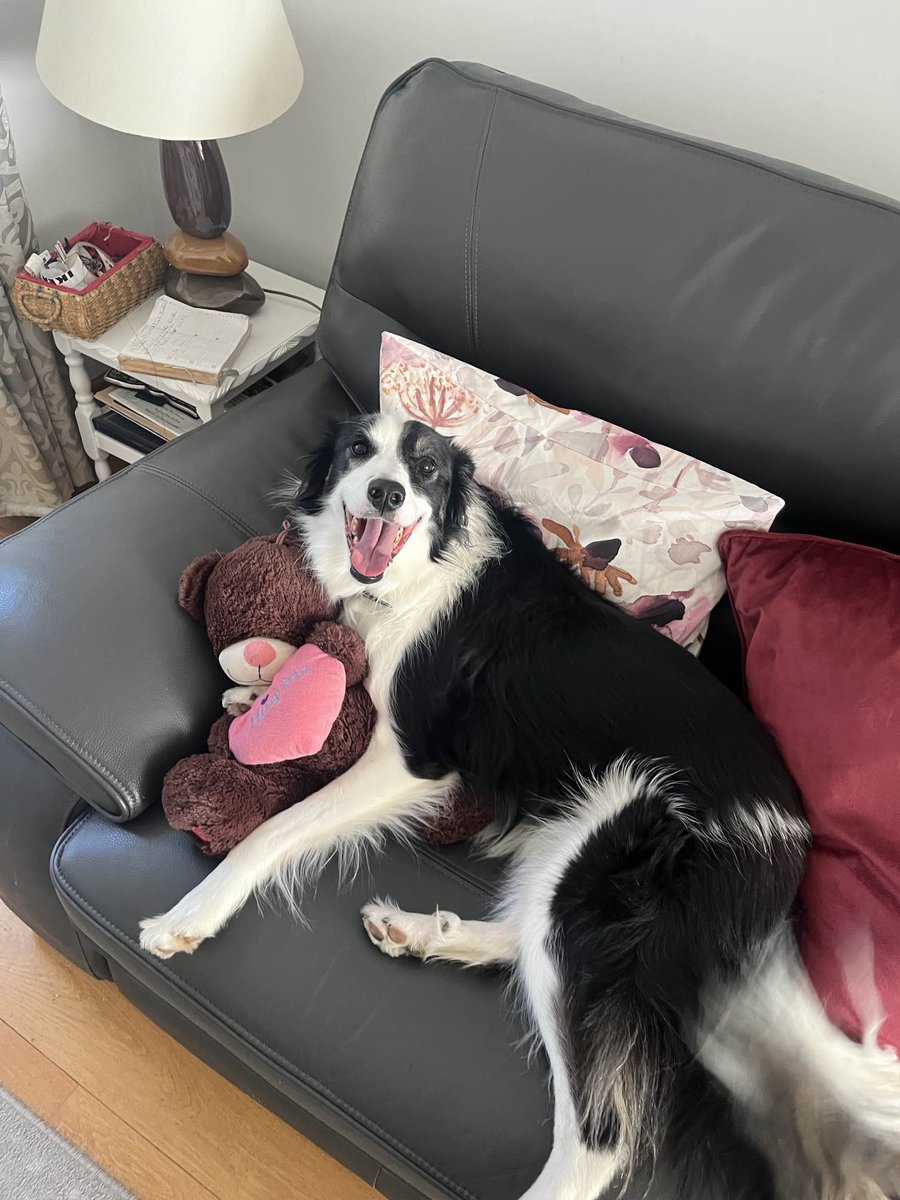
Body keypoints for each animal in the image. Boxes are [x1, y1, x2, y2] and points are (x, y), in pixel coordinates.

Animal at [141, 415, 900, 1200]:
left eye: (427, 469)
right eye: (358, 450)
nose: (386, 493)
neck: (417, 574)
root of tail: (788, 845)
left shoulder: (410, 762)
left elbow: (273, 831)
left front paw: (188, 917)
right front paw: (248, 695)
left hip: (607, 861)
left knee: (599, 1137)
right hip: (575, 849)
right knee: (525, 934)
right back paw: (420, 931)